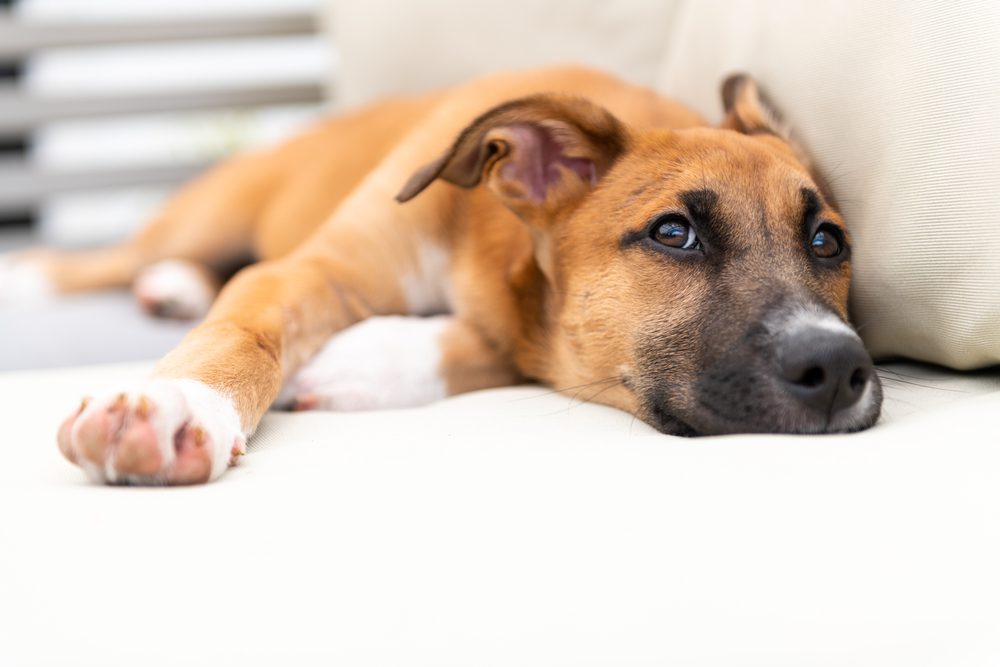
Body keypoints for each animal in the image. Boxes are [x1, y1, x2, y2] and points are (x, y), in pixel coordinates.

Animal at [1, 68, 884, 486]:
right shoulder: (309, 269)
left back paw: (175, 286)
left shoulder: (522, 326)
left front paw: (359, 363)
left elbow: (490, 340)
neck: (486, 237)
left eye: (828, 241)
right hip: (209, 214)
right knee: (95, 263)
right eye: (675, 233)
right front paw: (176, 406)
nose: (838, 366)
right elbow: (241, 334)